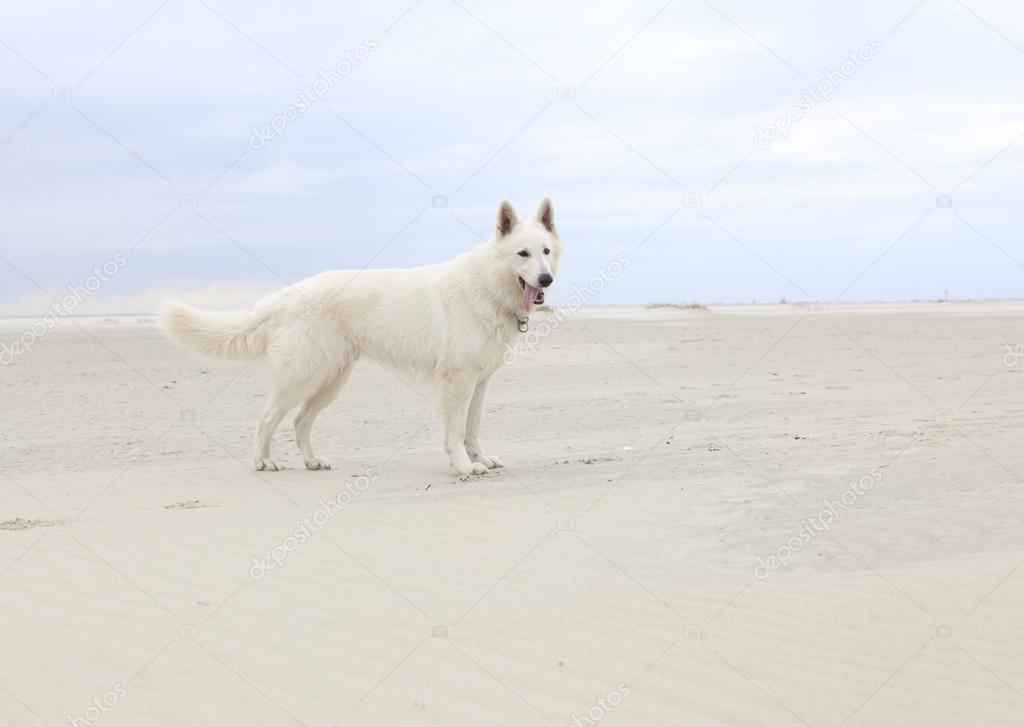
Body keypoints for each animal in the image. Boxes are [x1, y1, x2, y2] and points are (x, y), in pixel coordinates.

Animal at [160, 197, 565, 479]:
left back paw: (311, 461)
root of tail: (287, 296)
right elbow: (453, 432)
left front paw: (479, 458)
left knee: (300, 422)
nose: (546, 280)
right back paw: (263, 461)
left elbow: (473, 428)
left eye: (546, 252)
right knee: (268, 417)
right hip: (304, 378)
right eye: (522, 254)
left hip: (331, 382)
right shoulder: (456, 382)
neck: (487, 285)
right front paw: (464, 467)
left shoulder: (479, 383)